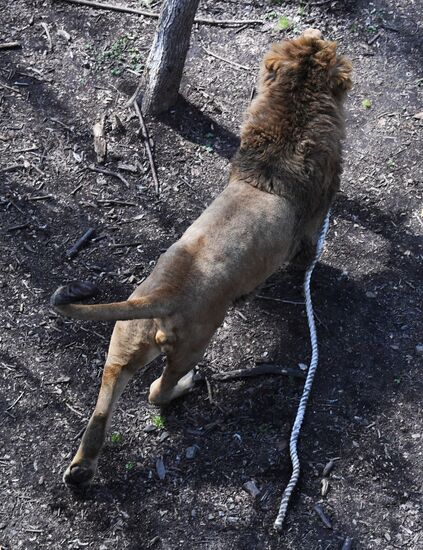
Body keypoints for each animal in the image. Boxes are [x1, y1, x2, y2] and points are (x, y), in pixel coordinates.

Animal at [51, 29, 352, 492]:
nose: (316, 33)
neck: (294, 110)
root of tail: (160, 294)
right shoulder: (315, 215)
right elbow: (309, 252)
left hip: (123, 345)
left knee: (103, 404)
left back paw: (81, 470)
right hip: (193, 344)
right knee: (157, 391)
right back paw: (187, 387)